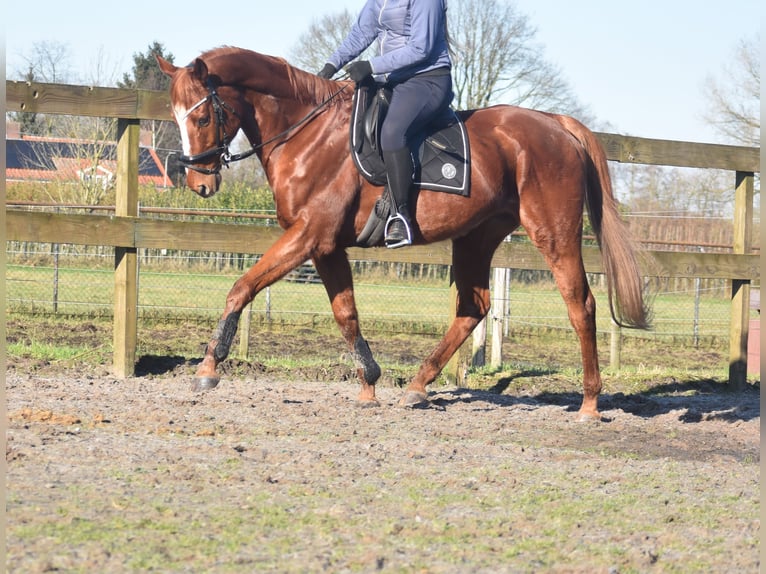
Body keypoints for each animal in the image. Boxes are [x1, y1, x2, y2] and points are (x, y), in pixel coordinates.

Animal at [159, 47, 652, 420]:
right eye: (177, 117)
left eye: (201, 119)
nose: (200, 185)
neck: (307, 133)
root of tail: (555, 124)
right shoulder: (325, 246)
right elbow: (346, 314)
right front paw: (369, 384)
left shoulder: (308, 236)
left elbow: (242, 287)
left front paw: (209, 366)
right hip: (477, 236)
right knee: (474, 307)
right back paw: (417, 385)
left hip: (553, 233)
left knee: (580, 304)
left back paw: (589, 402)